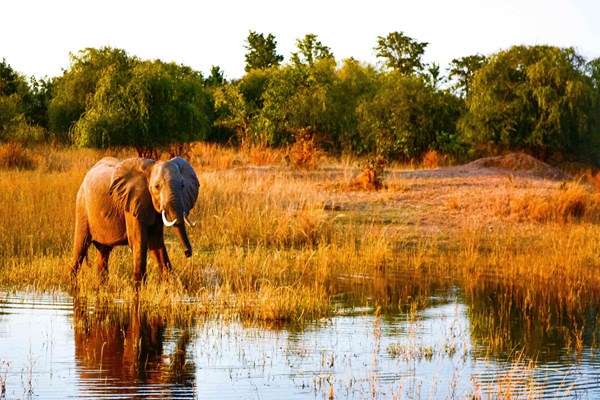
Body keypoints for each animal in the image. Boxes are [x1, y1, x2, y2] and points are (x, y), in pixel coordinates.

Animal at [70, 156, 200, 284]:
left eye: (183, 186)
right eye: (157, 187)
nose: (188, 252)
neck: (150, 168)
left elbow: (156, 242)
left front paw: (170, 285)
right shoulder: (131, 202)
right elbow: (138, 241)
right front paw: (140, 288)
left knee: (103, 253)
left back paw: (103, 286)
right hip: (82, 208)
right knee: (80, 249)